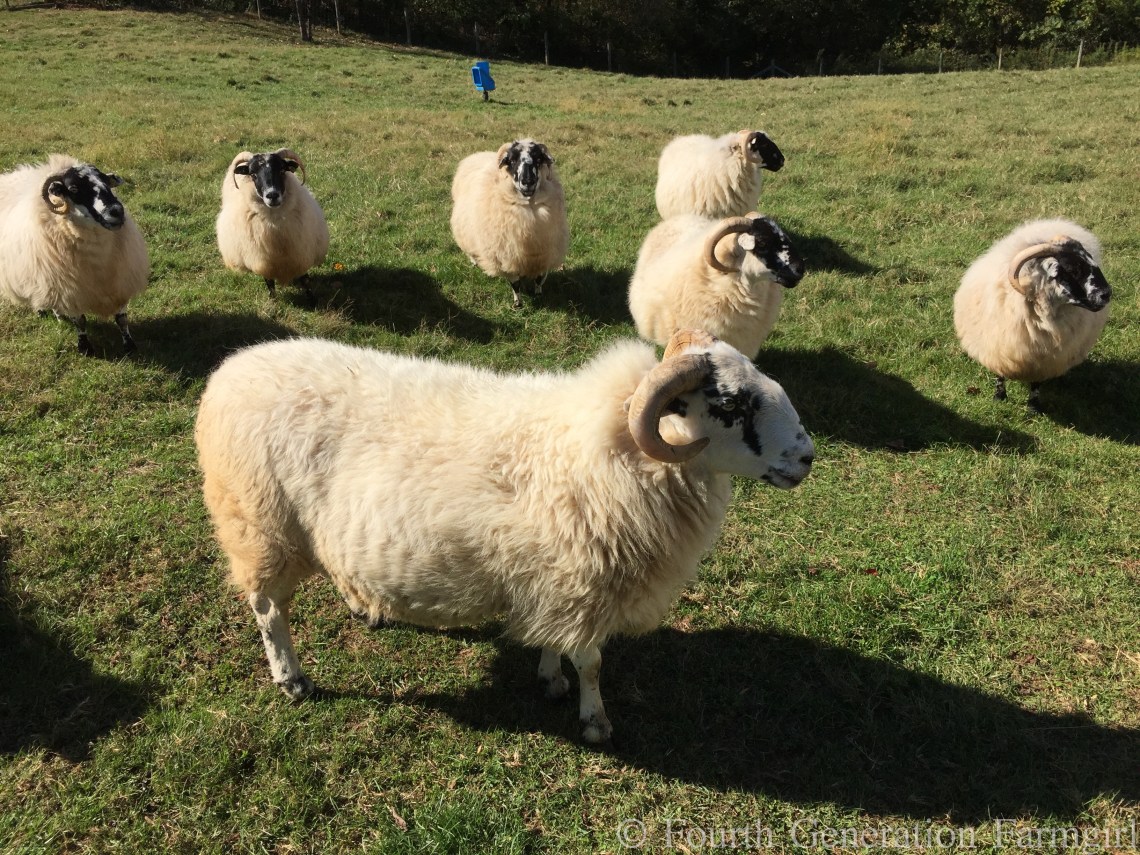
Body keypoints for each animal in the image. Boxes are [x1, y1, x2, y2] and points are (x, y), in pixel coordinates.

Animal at [0, 154, 149, 356]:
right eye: (73, 189)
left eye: (106, 182)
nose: (116, 211)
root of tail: (12, 175)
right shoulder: (70, 287)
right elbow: (80, 321)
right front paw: (85, 348)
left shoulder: (120, 281)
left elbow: (122, 318)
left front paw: (129, 345)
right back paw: (42, 310)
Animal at [195, 329, 814, 743]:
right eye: (730, 403)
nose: (807, 457)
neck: (610, 449)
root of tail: (231, 369)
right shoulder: (582, 579)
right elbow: (591, 661)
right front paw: (594, 721)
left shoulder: (555, 575)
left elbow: (556, 642)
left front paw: (549, 677)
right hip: (259, 526)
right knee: (268, 609)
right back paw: (292, 679)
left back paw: (364, 607)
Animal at [216, 148, 329, 304]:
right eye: (253, 174)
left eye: (282, 170)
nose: (272, 195)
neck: (274, 224)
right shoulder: (263, 261)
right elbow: (269, 282)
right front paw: (273, 301)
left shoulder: (300, 255)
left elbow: (305, 280)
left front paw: (312, 301)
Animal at [450, 138, 569, 308]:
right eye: (512, 160)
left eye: (538, 158)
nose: (528, 181)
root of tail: (478, 154)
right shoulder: (507, 256)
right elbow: (515, 284)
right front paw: (517, 304)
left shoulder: (544, 254)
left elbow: (539, 279)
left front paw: (539, 294)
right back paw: (474, 261)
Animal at [953, 218, 1112, 412]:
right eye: (1072, 269)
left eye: (1090, 260)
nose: (1106, 293)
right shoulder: (998, 347)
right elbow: (1000, 374)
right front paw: (999, 397)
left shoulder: (1044, 360)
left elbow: (1036, 384)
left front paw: (1033, 407)